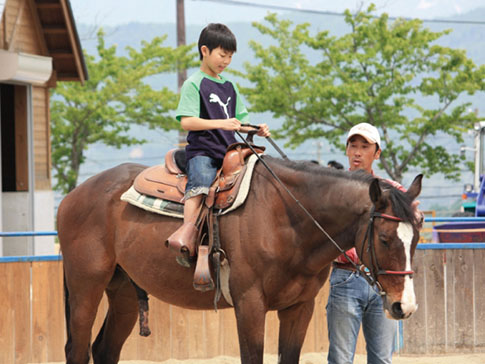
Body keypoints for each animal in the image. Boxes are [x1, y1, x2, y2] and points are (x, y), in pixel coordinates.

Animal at [55, 156, 420, 364]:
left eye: (416, 236)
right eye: (384, 238)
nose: (404, 306)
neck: (286, 217)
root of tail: (74, 196)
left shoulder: (299, 308)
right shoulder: (249, 305)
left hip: (125, 292)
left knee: (104, 350)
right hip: (85, 286)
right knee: (77, 350)